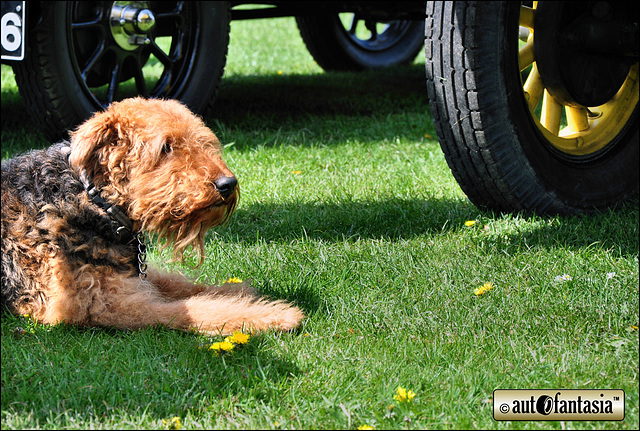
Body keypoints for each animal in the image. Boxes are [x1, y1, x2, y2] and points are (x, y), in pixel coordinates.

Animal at [1, 98, 304, 338]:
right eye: (165, 147)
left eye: (202, 140)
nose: (227, 184)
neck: (95, 200)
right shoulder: (95, 302)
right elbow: (190, 309)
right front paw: (275, 316)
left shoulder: (130, 274)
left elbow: (183, 285)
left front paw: (238, 290)